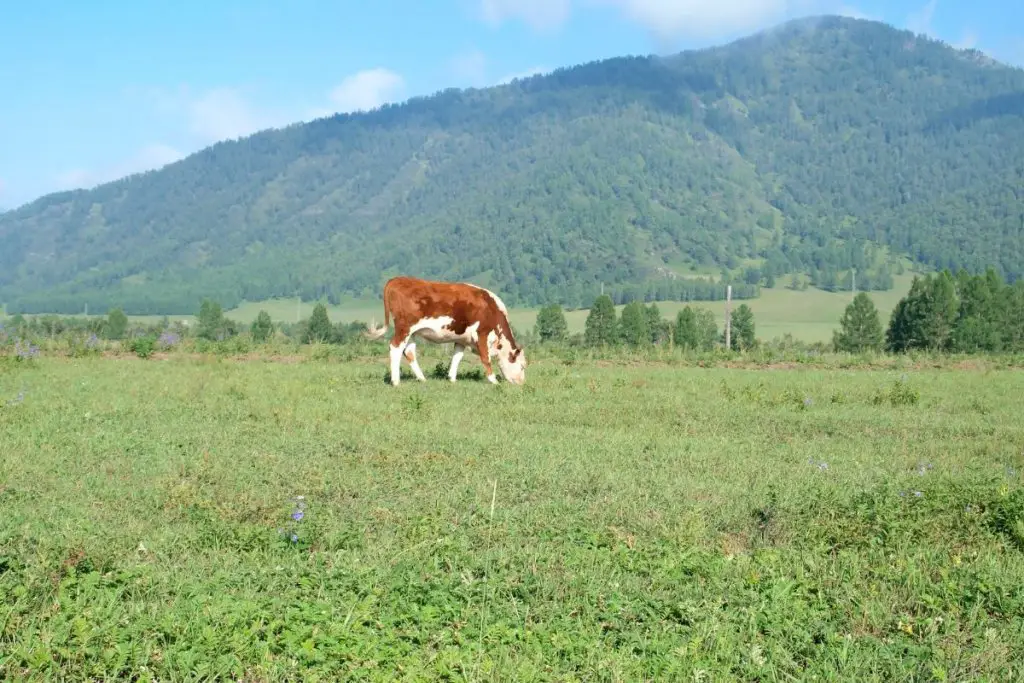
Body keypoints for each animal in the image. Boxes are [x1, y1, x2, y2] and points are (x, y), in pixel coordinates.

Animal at [364, 276, 528, 385]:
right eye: (522, 366)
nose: (521, 383)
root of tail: (396, 279)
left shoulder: (462, 339)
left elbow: (457, 357)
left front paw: (452, 378)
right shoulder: (482, 333)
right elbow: (485, 358)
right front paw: (493, 381)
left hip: (411, 333)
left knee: (409, 352)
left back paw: (422, 379)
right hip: (404, 328)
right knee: (396, 348)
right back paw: (396, 381)